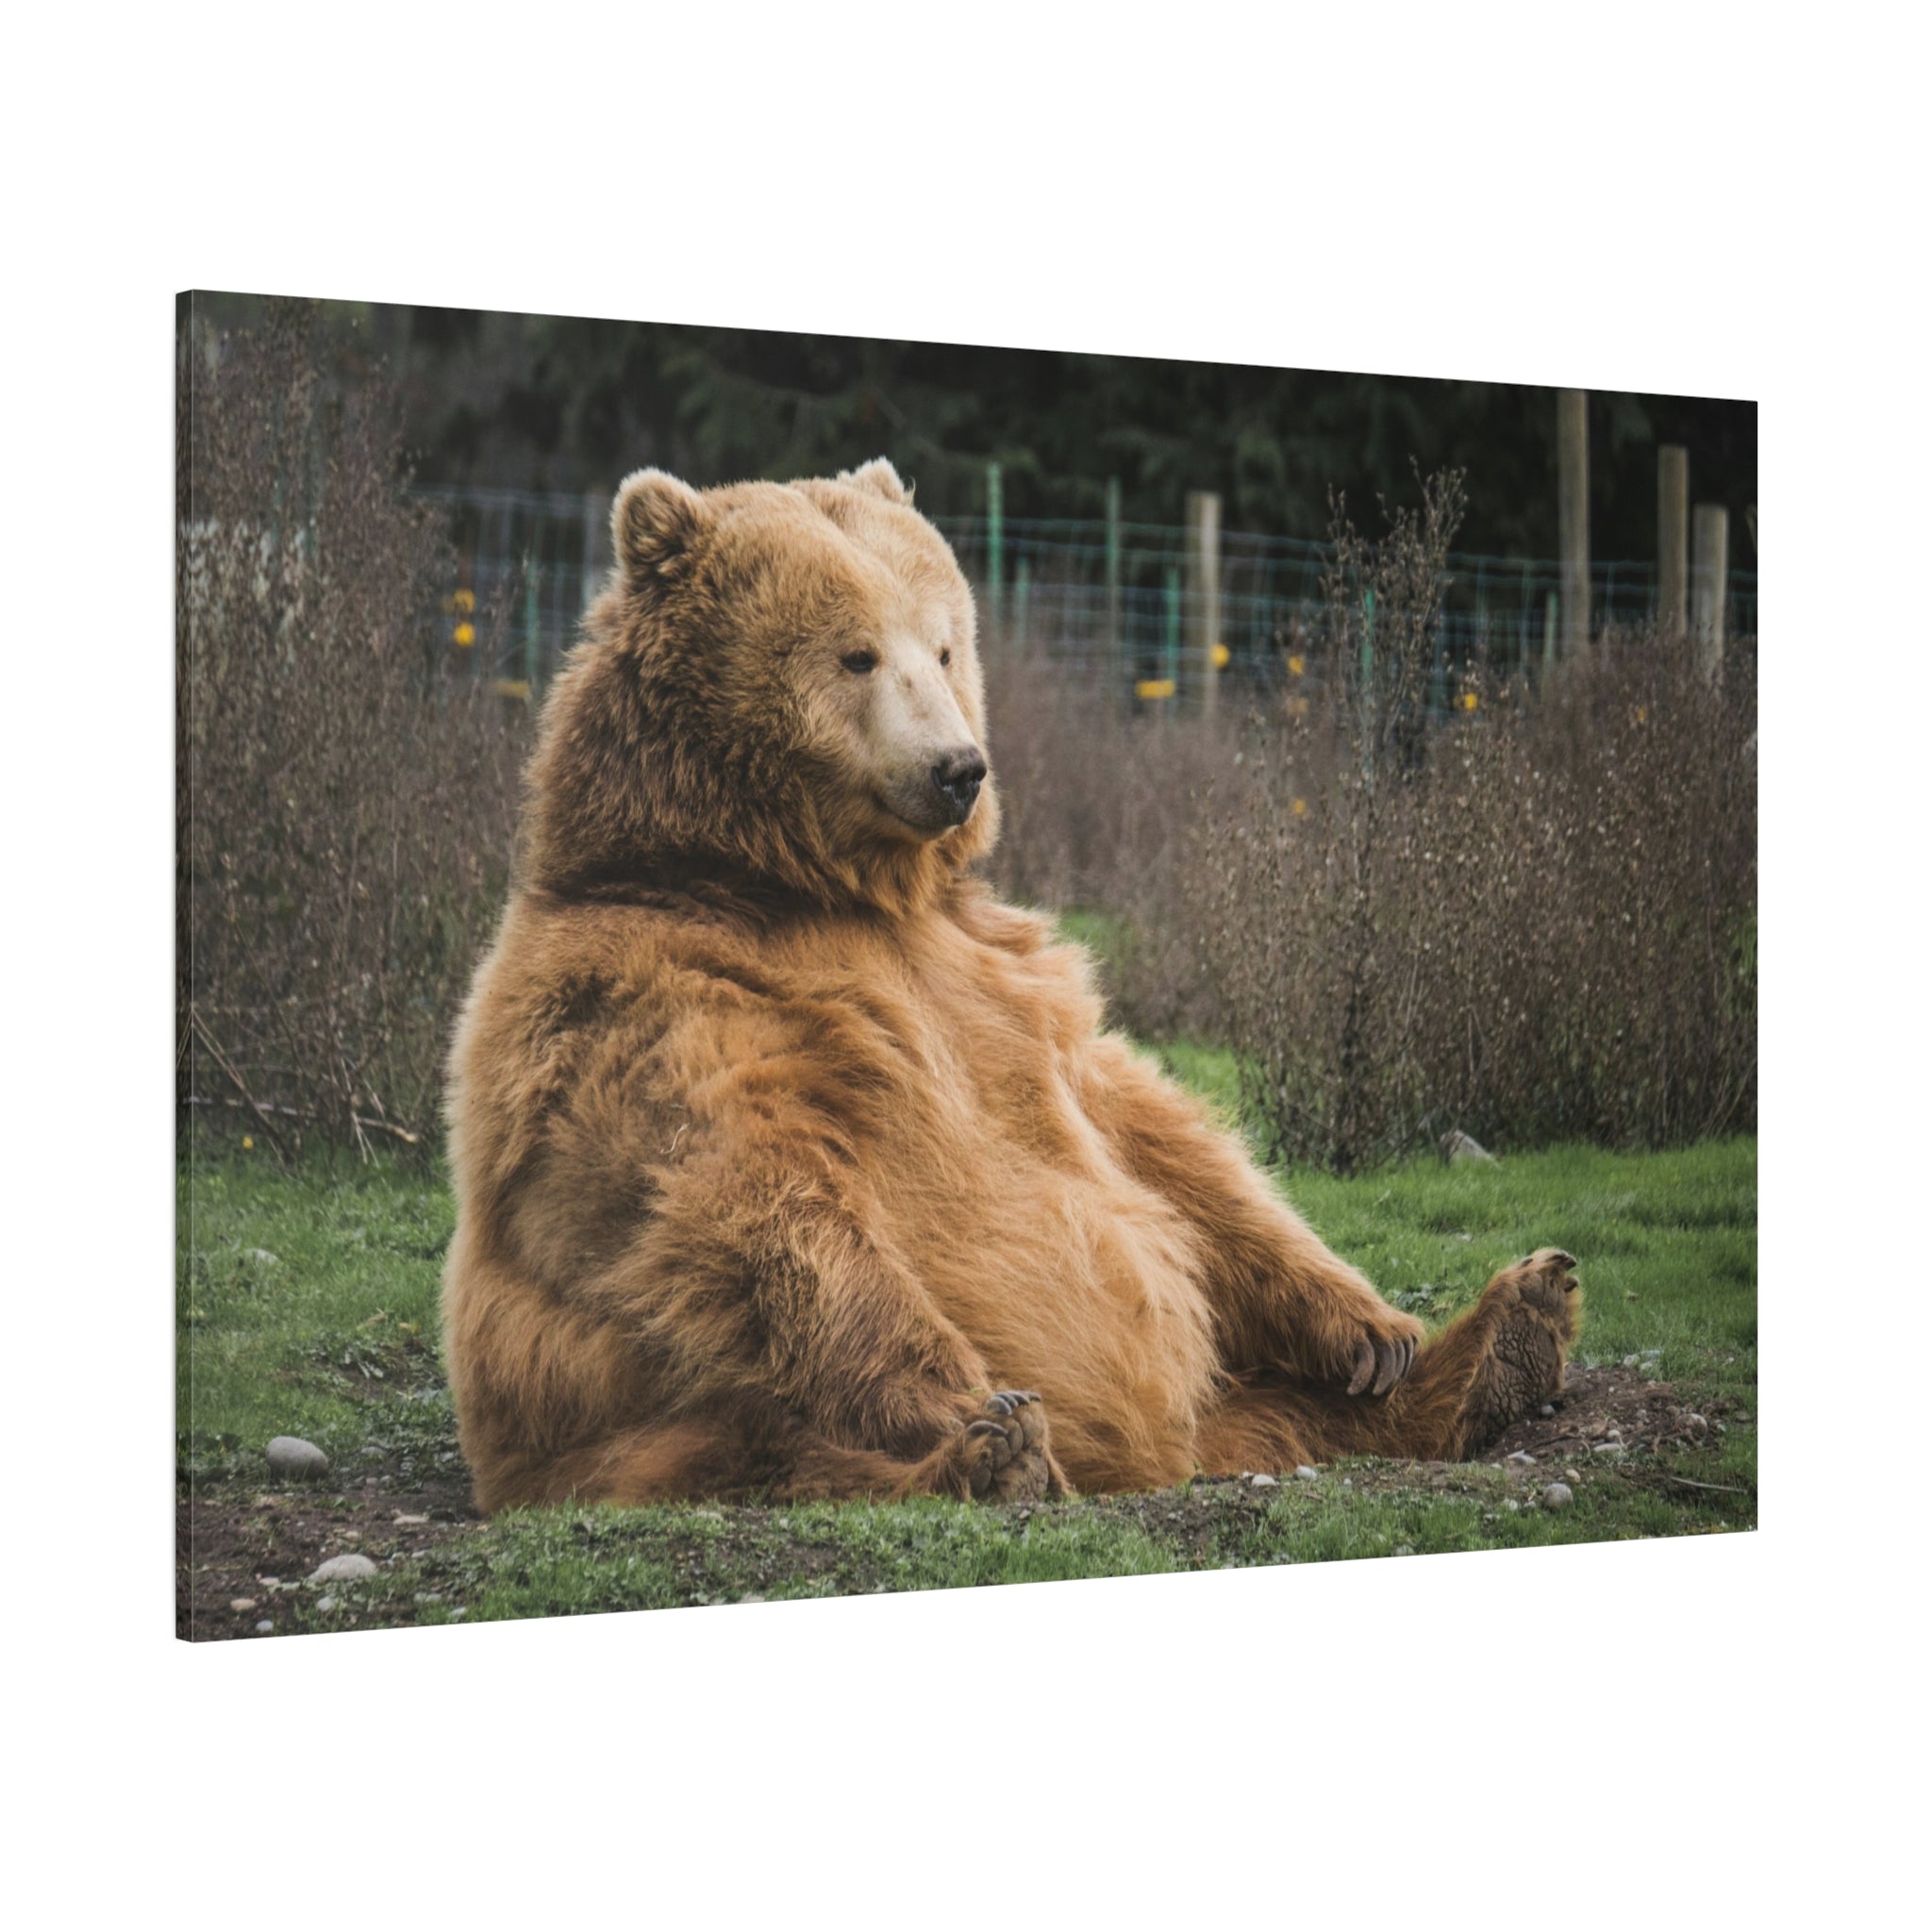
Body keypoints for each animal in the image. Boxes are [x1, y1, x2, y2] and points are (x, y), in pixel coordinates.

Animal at [440, 457, 1580, 1511]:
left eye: (944, 643)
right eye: (855, 653)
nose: (958, 766)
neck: (797, 882)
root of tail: (1161, 1457)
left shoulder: (1001, 975)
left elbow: (1154, 1136)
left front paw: (1371, 1327)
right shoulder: (655, 997)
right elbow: (755, 1200)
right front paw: (973, 1406)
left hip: (1230, 1395)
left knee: (1293, 1406)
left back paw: (1504, 1334)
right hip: (639, 1428)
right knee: (777, 1451)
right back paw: (993, 1459)